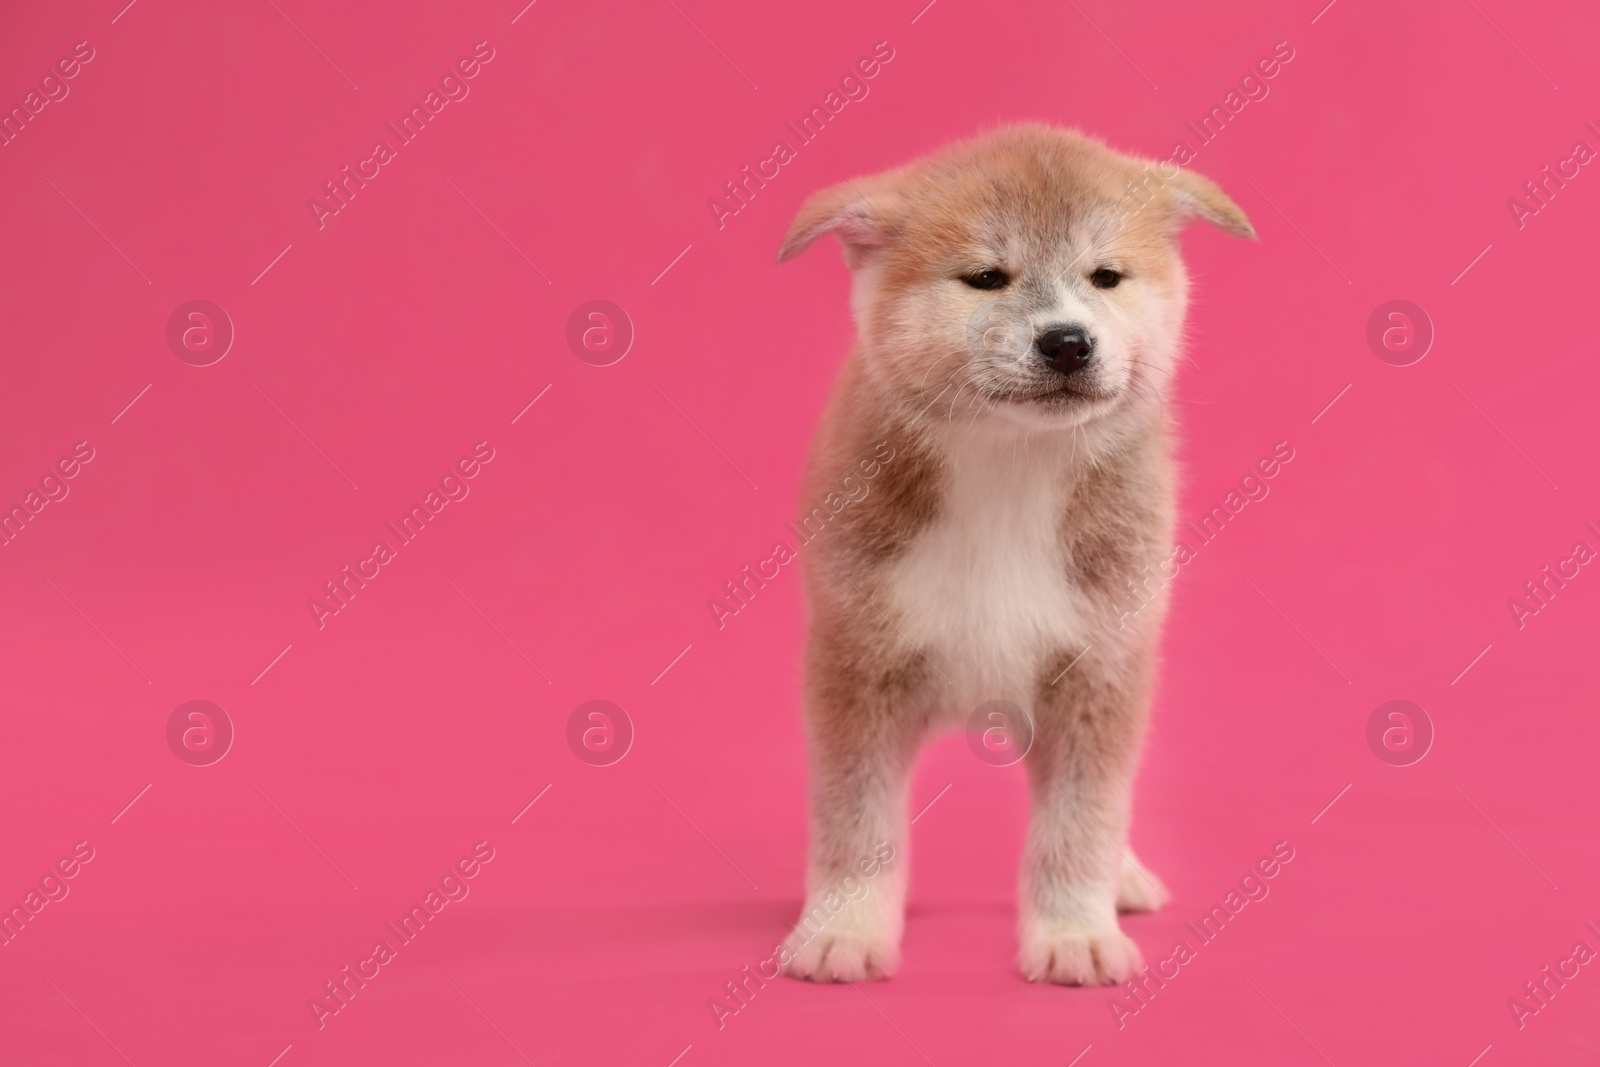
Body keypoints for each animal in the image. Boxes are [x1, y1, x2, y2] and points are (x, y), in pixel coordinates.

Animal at [780, 129, 1254, 991]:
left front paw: (1075, 931)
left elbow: (1080, 824)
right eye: (985, 277)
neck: (1011, 466)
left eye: (1106, 276)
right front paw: (843, 927)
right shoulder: (856, 666)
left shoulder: (1100, 671)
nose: (1067, 340)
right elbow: (856, 821)